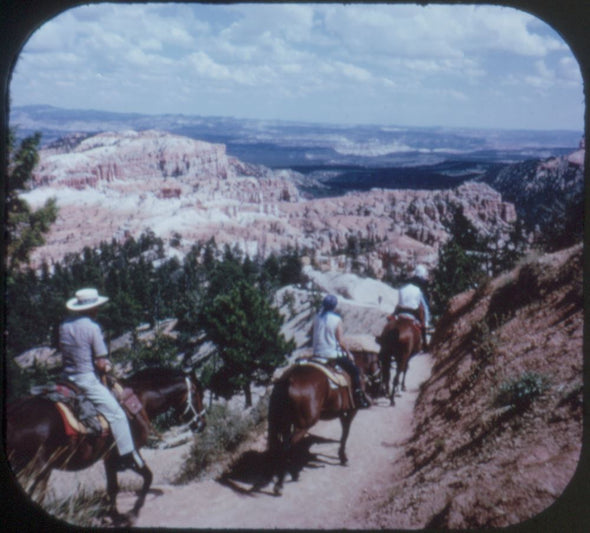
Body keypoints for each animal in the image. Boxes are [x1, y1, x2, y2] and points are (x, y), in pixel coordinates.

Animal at [5, 366, 206, 524]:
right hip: (38, 469)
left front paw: (113, 515)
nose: (202, 424)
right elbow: (147, 477)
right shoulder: (127, 454)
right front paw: (131, 513)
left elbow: (113, 488)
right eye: (198, 394)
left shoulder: (110, 458)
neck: (139, 400)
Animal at [268, 362, 356, 494]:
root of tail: (289, 380)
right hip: (303, 425)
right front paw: (343, 457)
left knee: (284, 446)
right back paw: (286, 479)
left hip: (285, 424)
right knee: (289, 445)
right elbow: (345, 434)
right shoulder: (348, 412)